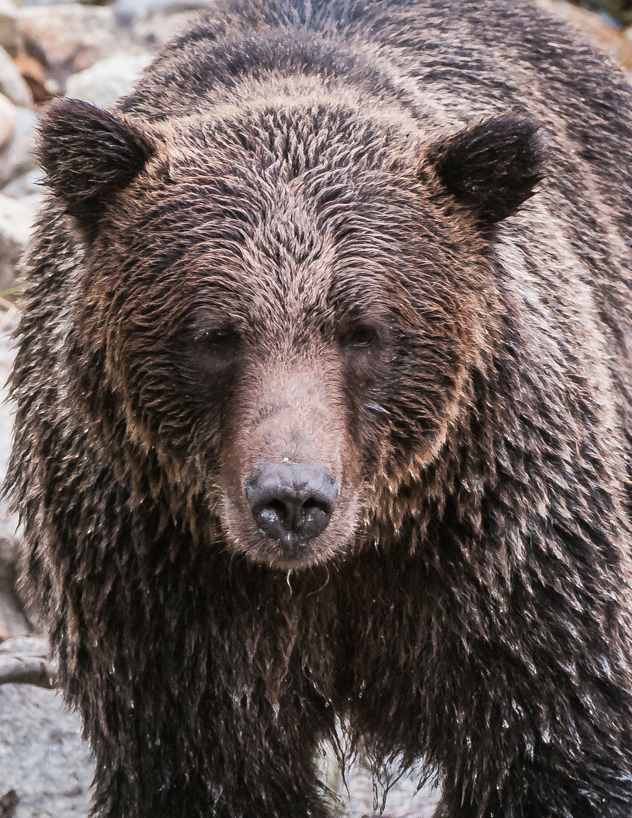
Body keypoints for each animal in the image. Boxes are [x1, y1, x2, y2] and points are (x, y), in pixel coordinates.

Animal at [6, 0, 632, 816]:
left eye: (364, 330)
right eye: (215, 334)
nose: (293, 498)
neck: (347, 561)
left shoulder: (507, 555)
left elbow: (556, 747)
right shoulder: (164, 595)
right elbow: (208, 768)